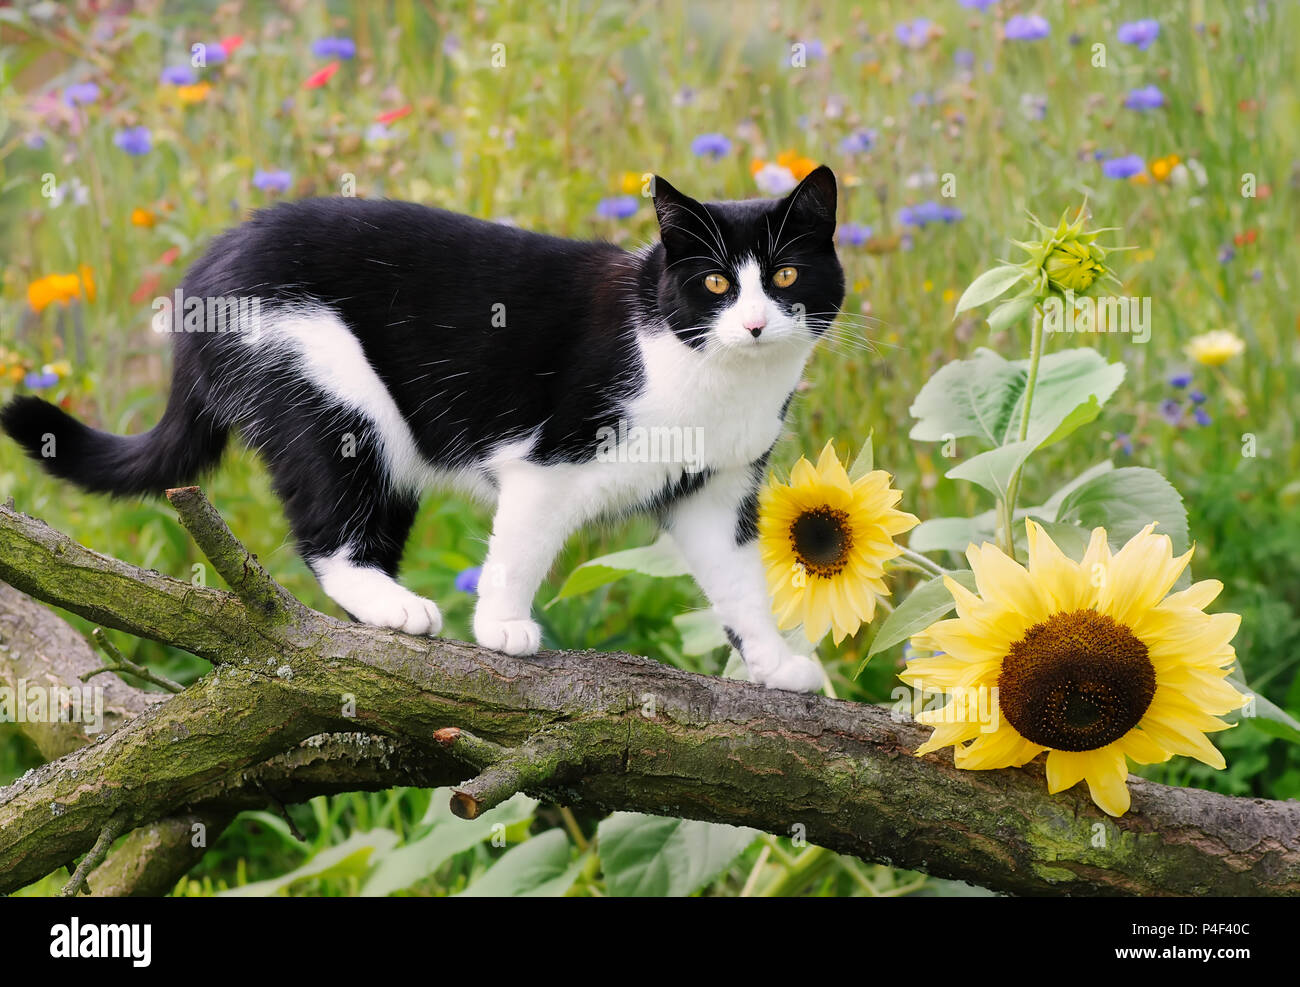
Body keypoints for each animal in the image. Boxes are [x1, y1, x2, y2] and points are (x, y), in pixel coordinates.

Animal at [0, 165, 847, 697]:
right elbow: (518, 547)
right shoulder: (548, 463)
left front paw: (777, 662)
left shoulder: (717, 491)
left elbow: (741, 583)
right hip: (330, 394)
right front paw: (501, 627)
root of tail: (207, 268)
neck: (711, 377)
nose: (755, 323)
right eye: (714, 282)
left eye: (785, 277)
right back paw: (395, 608)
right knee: (328, 531)